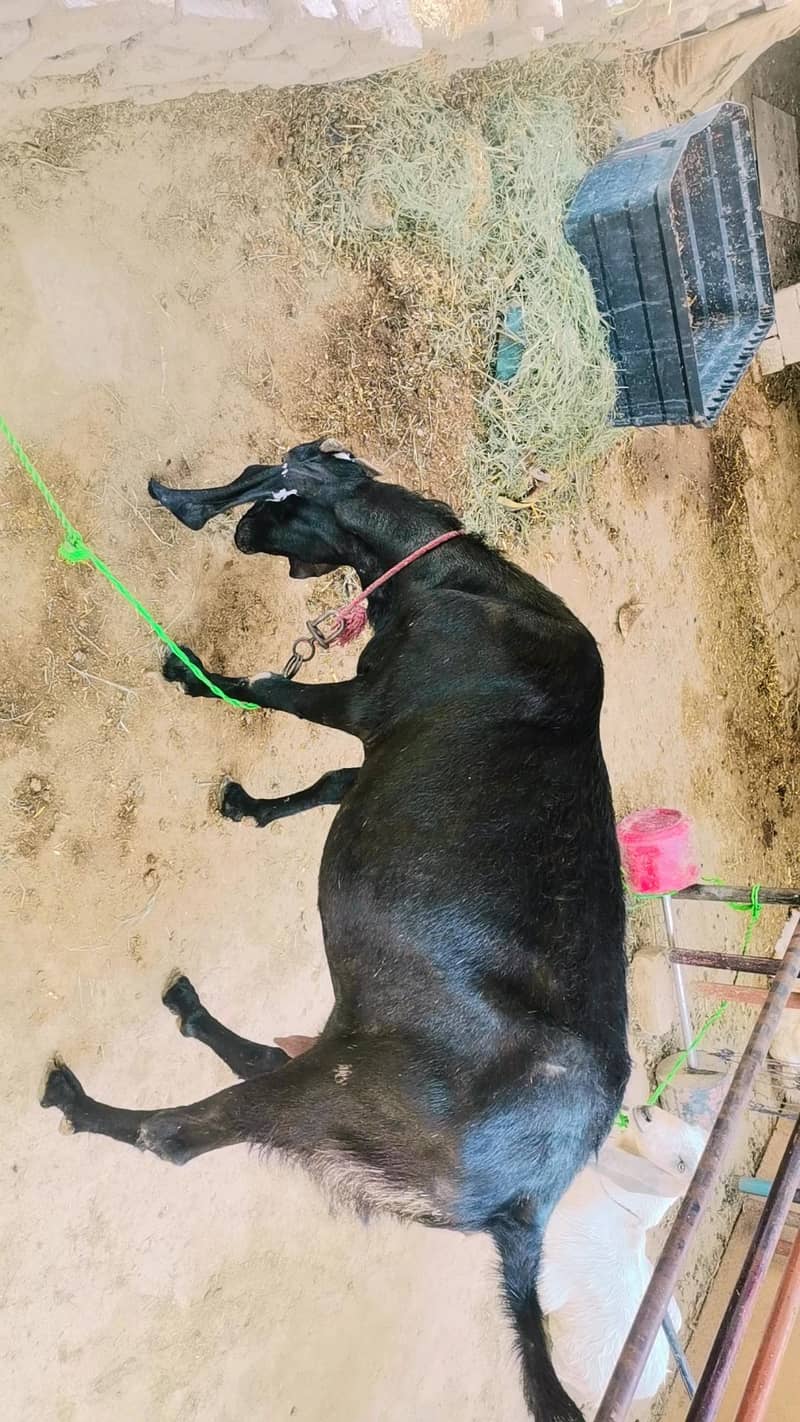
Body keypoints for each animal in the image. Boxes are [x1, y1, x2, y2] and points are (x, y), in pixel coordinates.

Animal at [40, 439, 629, 1422]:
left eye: (272, 488)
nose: (237, 528)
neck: (461, 581)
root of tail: (525, 1214)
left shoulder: (366, 703)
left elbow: (275, 691)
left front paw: (188, 672)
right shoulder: (375, 742)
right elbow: (327, 784)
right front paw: (249, 805)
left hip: (339, 1092)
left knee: (183, 1137)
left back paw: (77, 1098)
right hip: (346, 1061)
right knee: (267, 1060)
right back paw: (190, 1012)